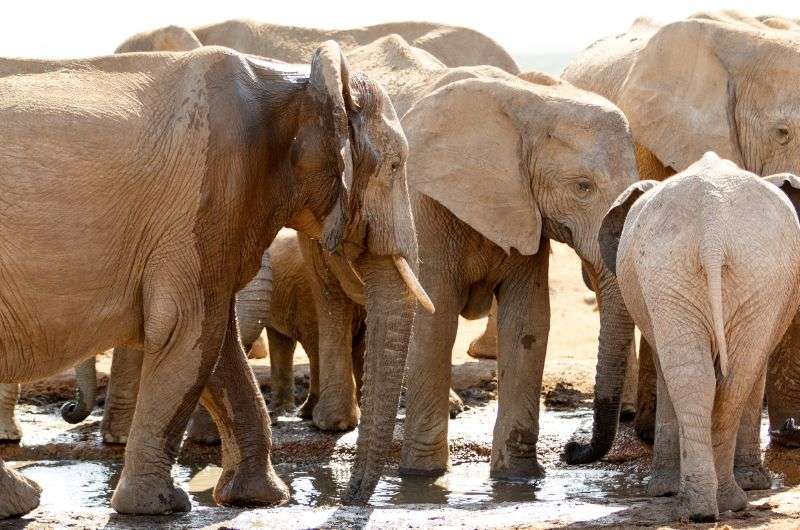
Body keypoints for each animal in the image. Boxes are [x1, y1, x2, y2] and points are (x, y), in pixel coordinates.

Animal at [0, 42, 432, 516]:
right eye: (394, 165)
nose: (350, 499)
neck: (305, 83)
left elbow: (217, 341)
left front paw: (259, 498)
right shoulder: (210, 191)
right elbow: (189, 329)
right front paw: (158, 506)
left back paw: (20, 499)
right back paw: (24, 499)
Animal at [596, 152, 800, 520]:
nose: (571, 450)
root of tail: (712, 220)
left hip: (704, 268)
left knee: (707, 375)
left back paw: (704, 505)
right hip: (693, 270)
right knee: (720, 375)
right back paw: (715, 502)